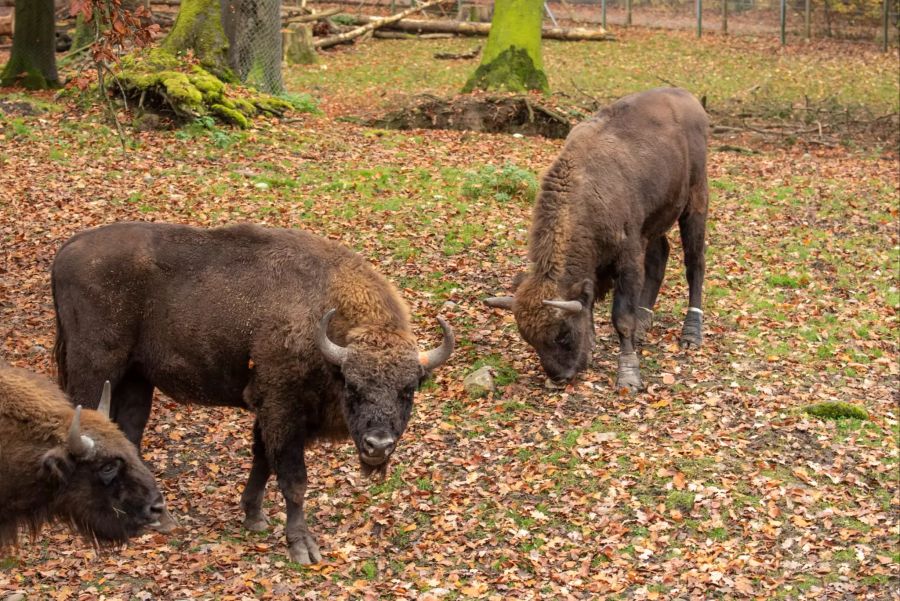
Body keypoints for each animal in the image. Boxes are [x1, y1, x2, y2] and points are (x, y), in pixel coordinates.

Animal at [52, 221, 454, 564]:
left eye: (408, 390)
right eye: (353, 386)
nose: (378, 445)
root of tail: (67, 250)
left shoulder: (269, 413)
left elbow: (262, 461)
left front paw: (254, 517)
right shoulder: (282, 410)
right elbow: (293, 480)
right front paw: (302, 547)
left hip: (137, 378)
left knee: (129, 435)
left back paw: (159, 519)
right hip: (94, 368)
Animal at [486, 86, 712, 392]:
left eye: (562, 334)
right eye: (530, 340)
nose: (560, 377)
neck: (585, 192)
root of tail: (688, 98)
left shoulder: (628, 257)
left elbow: (622, 318)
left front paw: (628, 375)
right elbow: (590, 303)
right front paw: (593, 348)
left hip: (695, 200)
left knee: (694, 263)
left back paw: (691, 333)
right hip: (656, 218)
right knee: (660, 255)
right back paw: (645, 322)